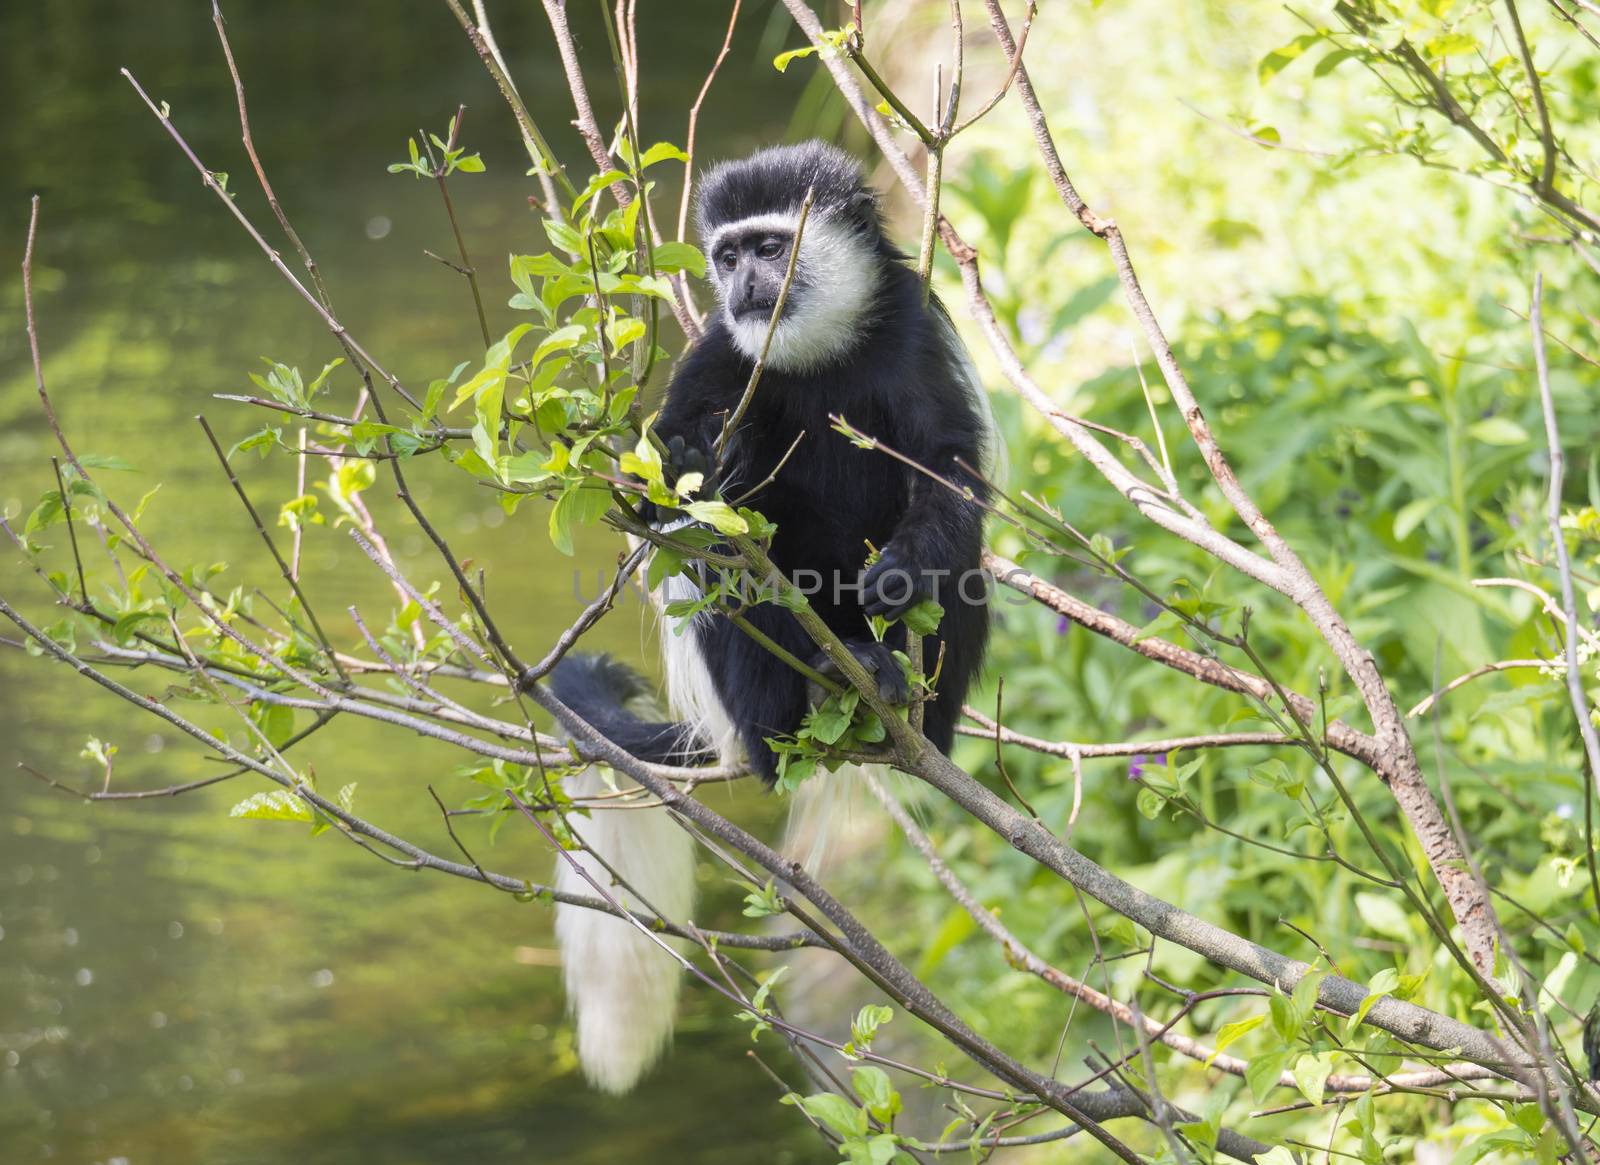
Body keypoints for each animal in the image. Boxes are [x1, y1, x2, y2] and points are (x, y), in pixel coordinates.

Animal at [556, 140, 992, 1094]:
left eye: (770, 246)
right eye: (725, 256)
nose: (747, 283)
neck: (816, 353)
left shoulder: (912, 332)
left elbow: (948, 469)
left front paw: (898, 575)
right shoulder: (722, 355)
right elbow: (664, 502)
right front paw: (701, 469)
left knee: (965, 575)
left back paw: (896, 687)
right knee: (731, 579)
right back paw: (798, 706)